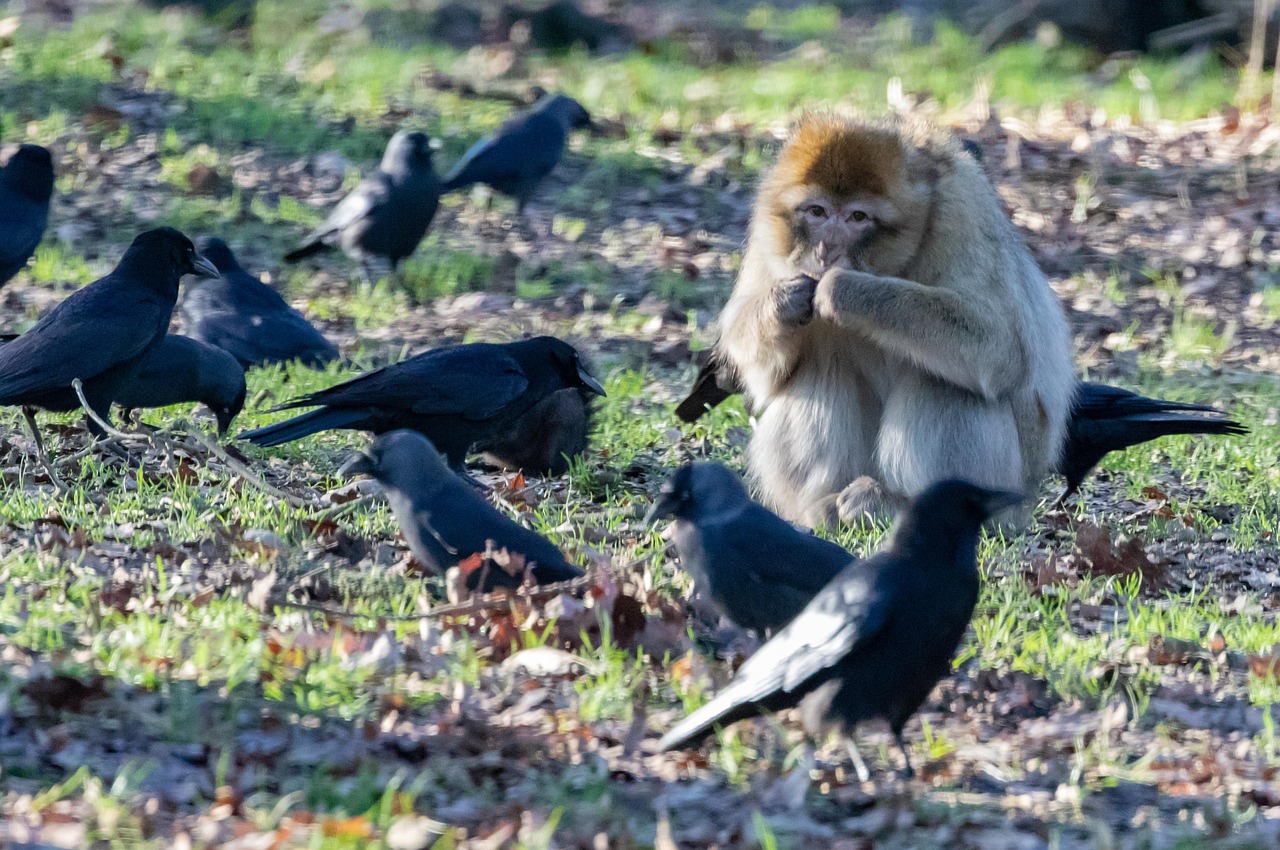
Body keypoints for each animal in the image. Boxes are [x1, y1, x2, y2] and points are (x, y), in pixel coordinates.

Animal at [715, 113, 1074, 526]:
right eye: (817, 211)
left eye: (857, 217)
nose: (826, 250)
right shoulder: (768, 238)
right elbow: (766, 378)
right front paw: (784, 303)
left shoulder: (960, 213)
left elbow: (1000, 348)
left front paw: (844, 290)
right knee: (821, 366)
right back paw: (825, 505)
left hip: (1007, 500)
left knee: (949, 382)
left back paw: (902, 503)